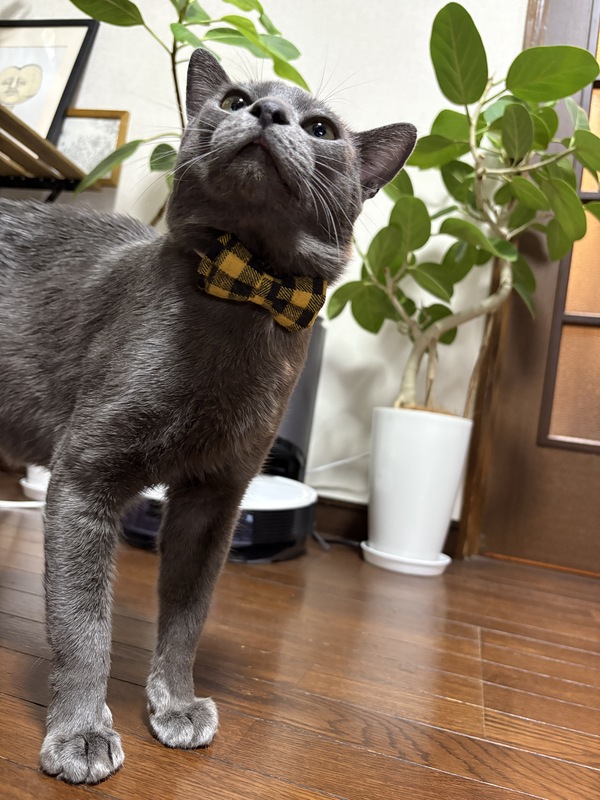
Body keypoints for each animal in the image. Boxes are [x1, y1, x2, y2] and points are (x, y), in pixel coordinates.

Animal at [0, 48, 416, 784]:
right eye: (232, 99)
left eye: (321, 128)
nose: (268, 112)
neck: (243, 295)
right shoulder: (83, 476)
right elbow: (83, 624)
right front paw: (80, 734)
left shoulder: (214, 498)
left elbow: (186, 619)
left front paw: (175, 705)